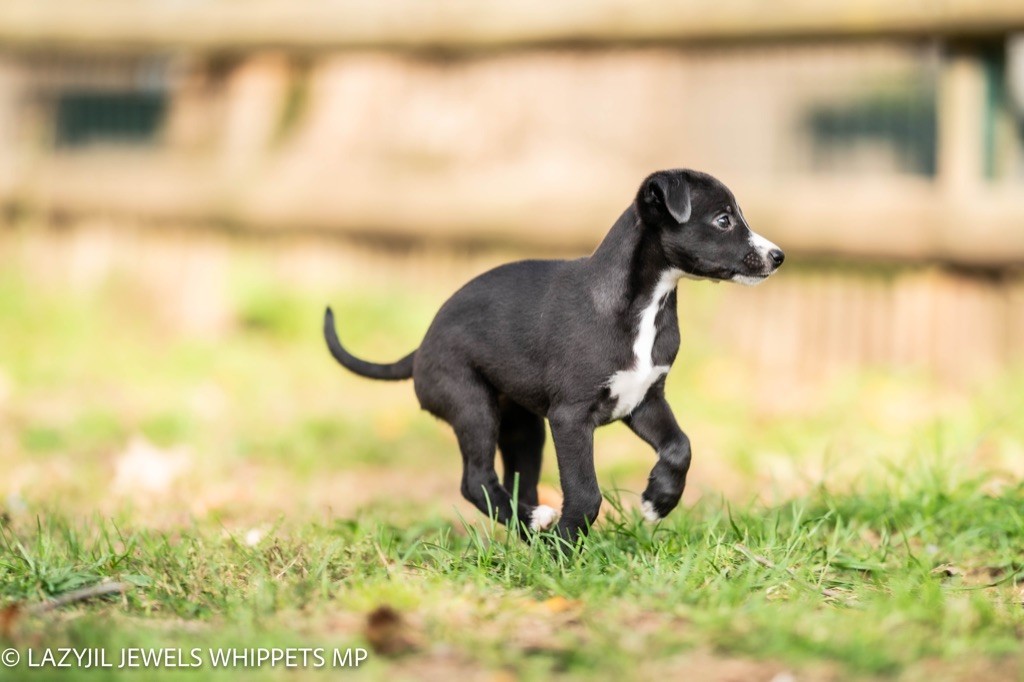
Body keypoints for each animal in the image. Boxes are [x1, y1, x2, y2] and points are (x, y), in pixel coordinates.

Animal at [324, 169, 784, 547]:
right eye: (723, 220)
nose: (778, 256)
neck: (643, 307)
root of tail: (420, 347)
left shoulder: (645, 399)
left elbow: (680, 446)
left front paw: (659, 500)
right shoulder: (570, 418)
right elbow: (585, 491)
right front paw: (567, 546)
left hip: (524, 428)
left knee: (517, 482)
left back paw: (533, 532)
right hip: (472, 405)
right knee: (476, 481)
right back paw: (538, 524)